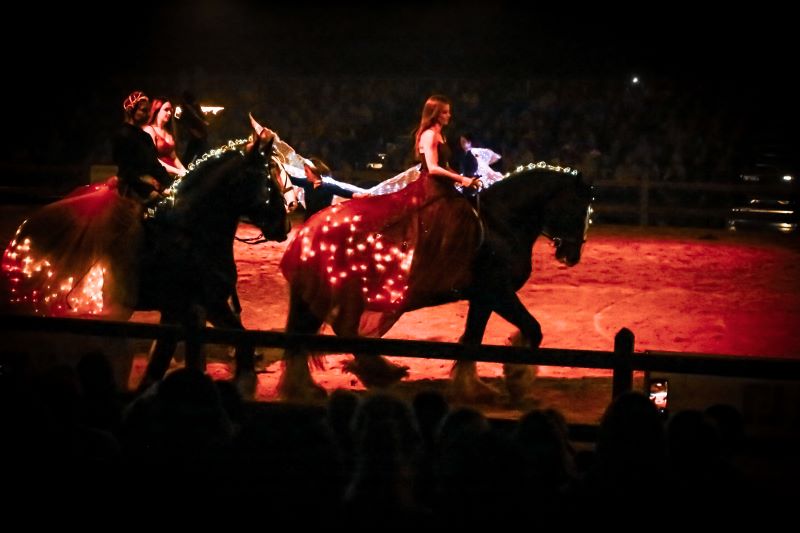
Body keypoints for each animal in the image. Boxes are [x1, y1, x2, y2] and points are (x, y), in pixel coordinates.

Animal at [1, 126, 289, 393]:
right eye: (267, 177)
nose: (284, 225)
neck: (191, 233)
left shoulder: (195, 308)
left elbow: (173, 358)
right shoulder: (197, 305)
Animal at [278, 162, 593, 401]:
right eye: (578, 208)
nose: (572, 255)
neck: (500, 224)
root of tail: (308, 230)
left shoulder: (482, 298)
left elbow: (473, 339)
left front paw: (474, 387)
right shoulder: (498, 293)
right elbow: (533, 329)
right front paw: (516, 378)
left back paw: (312, 386)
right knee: (343, 331)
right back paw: (382, 373)